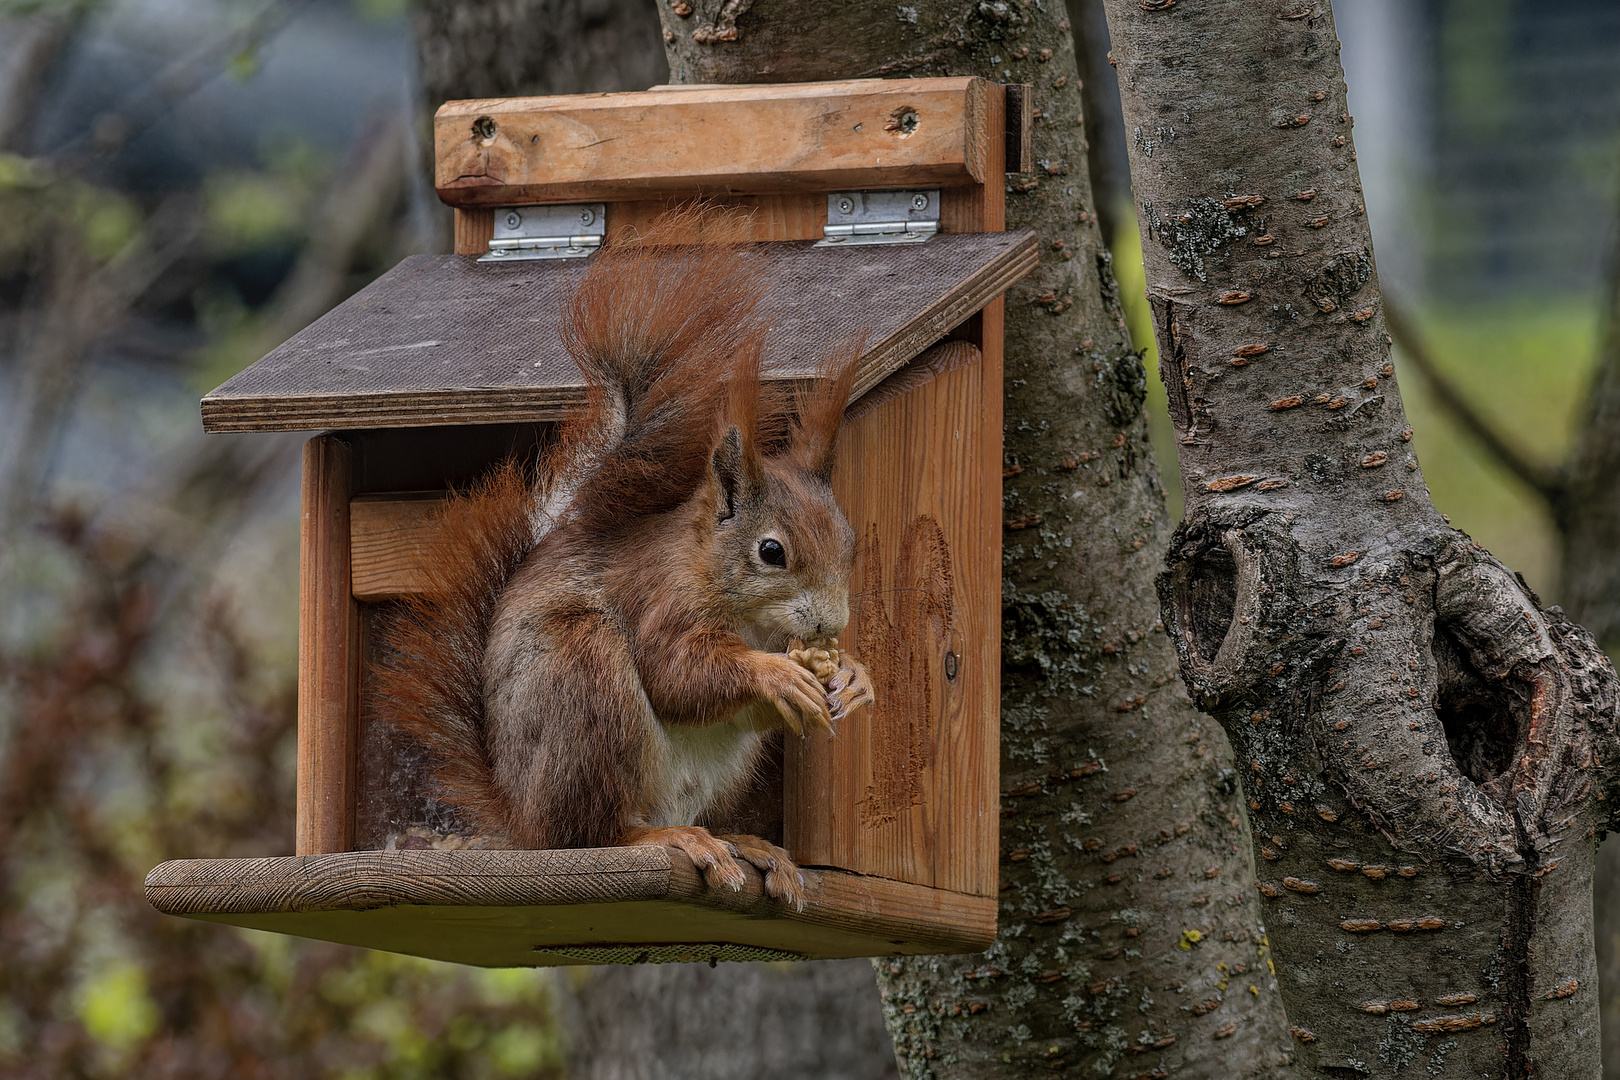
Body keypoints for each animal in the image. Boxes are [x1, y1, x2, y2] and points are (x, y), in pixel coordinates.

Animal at [370, 221, 874, 913]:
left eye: (849, 542)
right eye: (771, 552)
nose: (831, 624)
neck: (747, 613)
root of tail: (521, 820)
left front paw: (852, 675)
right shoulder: (660, 598)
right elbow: (678, 673)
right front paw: (773, 673)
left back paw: (747, 844)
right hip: (585, 686)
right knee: (595, 832)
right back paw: (662, 840)